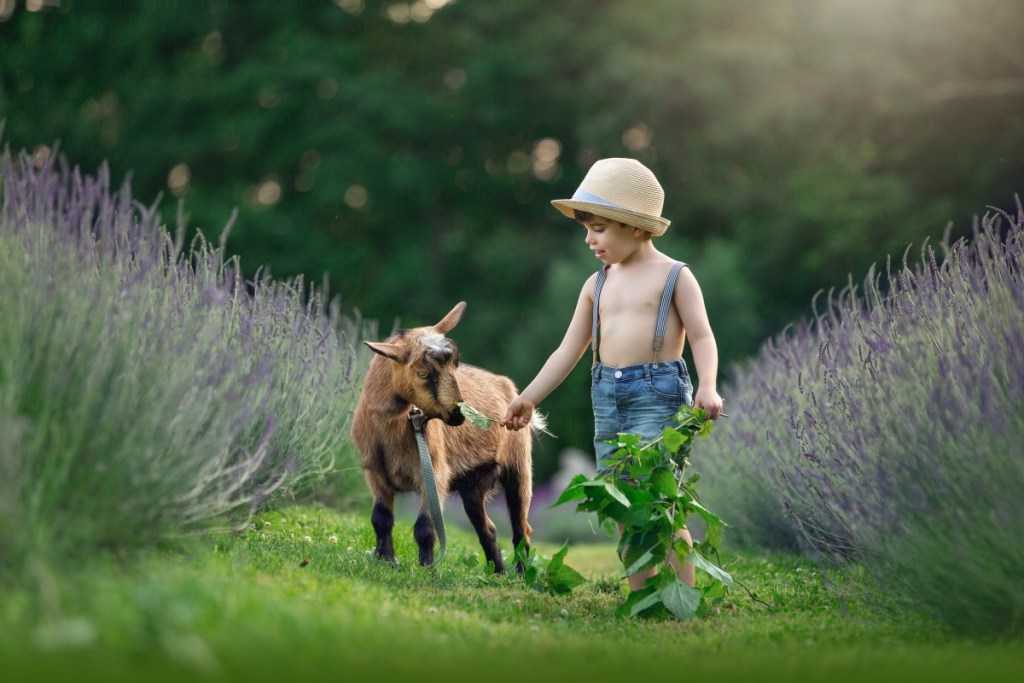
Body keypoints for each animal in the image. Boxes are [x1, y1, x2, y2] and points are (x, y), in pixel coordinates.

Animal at [350, 301, 541, 573]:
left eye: (455, 366)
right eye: (421, 373)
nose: (457, 413)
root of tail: (508, 386)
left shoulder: (434, 475)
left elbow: (425, 528)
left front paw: (426, 568)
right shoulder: (375, 473)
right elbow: (380, 518)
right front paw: (385, 560)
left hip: (519, 467)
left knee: (521, 529)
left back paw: (522, 575)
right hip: (474, 484)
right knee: (488, 529)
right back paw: (498, 572)